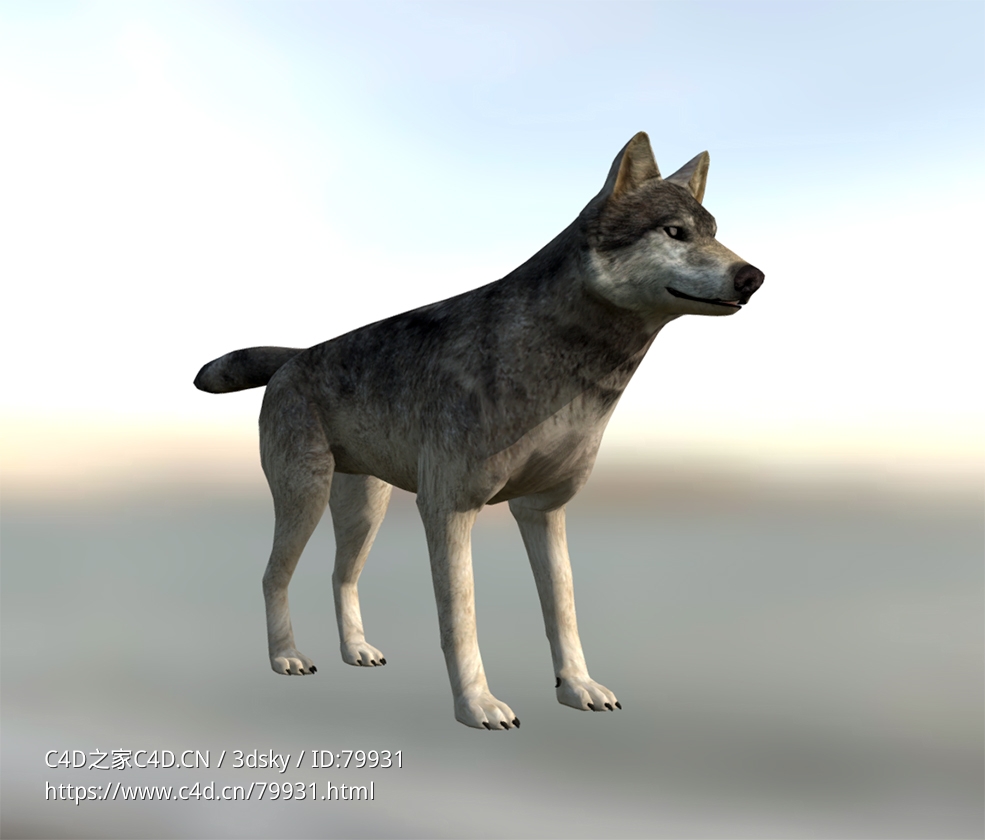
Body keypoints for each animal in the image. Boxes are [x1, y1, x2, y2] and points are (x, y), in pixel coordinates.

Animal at [194, 132, 764, 730]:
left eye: (714, 233)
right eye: (675, 233)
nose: (753, 277)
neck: (563, 368)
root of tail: (295, 356)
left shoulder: (543, 511)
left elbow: (563, 612)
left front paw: (577, 687)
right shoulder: (449, 509)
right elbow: (460, 622)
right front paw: (477, 706)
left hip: (363, 510)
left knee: (341, 576)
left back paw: (356, 651)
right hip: (304, 498)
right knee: (272, 577)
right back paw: (285, 656)